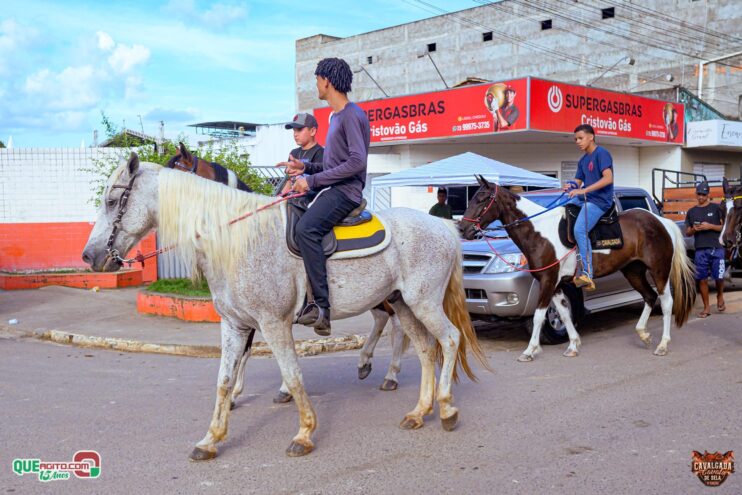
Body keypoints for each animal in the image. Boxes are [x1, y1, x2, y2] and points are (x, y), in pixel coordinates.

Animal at [167, 143, 410, 399]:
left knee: (397, 325)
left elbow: (254, 348)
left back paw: (391, 375)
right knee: (384, 318)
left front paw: (237, 393)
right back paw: (365, 363)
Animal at [459, 175, 696, 361]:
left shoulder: (547, 280)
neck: (539, 232)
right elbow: (564, 313)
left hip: (660, 271)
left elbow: (539, 316)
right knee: (649, 296)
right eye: (472, 197)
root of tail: (661, 221)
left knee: (666, 302)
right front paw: (573, 345)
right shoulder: (555, 283)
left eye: (483, 199)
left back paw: (662, 345)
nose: (462, 228)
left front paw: (529, 350)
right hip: (633, 271)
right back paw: (643, 334)